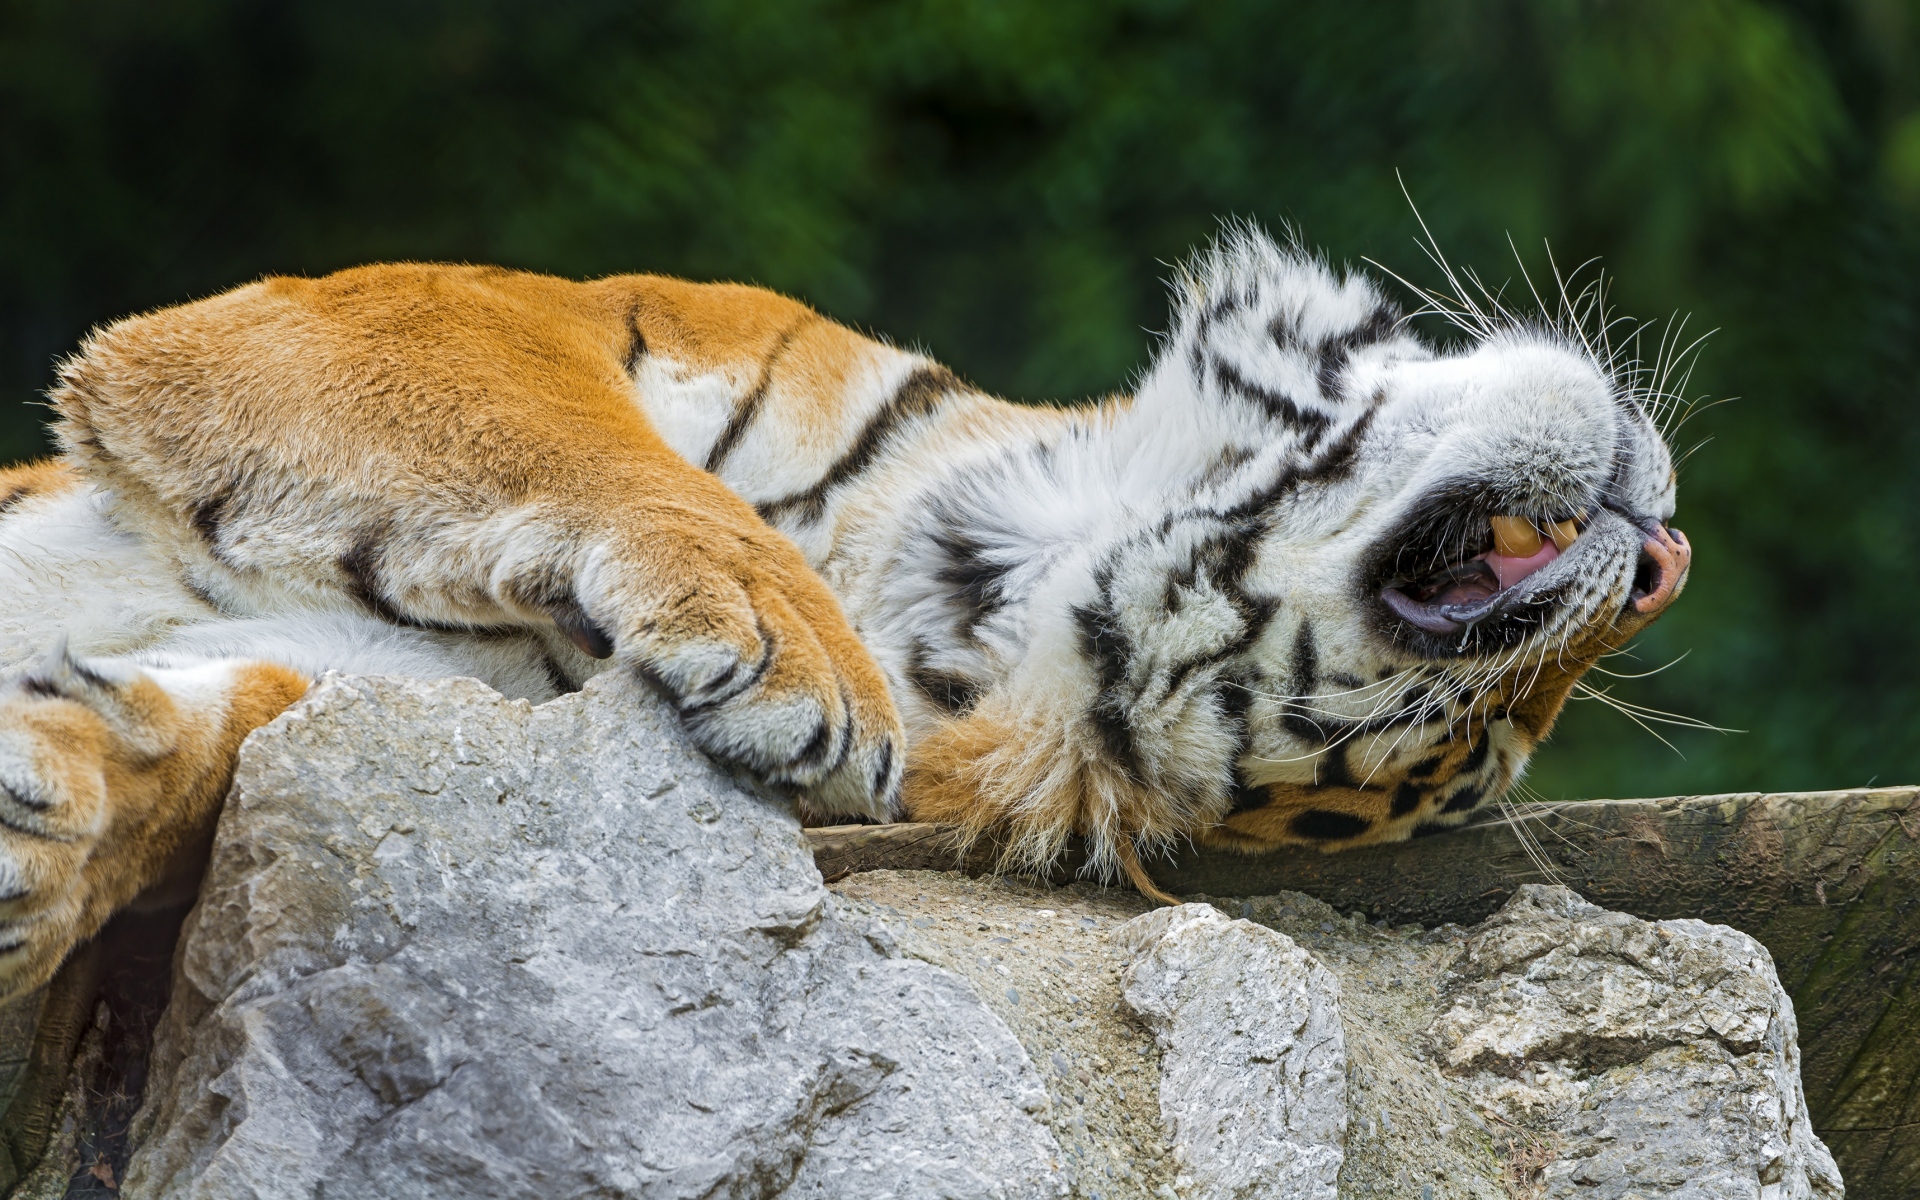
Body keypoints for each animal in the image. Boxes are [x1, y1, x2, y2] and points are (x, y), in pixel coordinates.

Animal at [0, 226, 1688, 998]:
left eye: (1475, 753)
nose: (1667, 563)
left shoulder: (407, 684)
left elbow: (207, 741)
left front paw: (55, 837)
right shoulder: (405, 313)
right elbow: (584, 446)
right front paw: (797, 647)